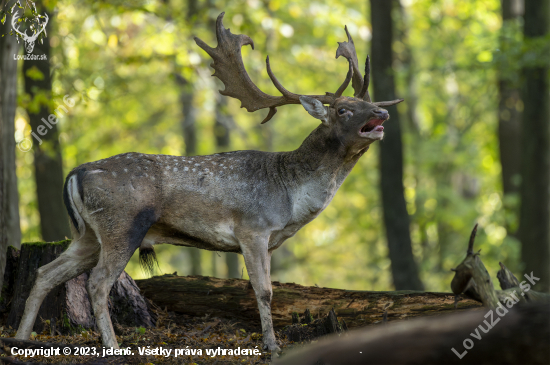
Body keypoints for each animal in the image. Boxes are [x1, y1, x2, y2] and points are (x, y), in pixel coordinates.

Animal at [15, 12, 404, 352]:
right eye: (343, 110)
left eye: (364, 102)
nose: (382, 112)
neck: (290, 197)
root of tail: (76, 173)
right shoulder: (252, 228)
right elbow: (264, 291)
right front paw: (272, 346)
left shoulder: (270, 241)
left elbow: (270, 290)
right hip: (121, 225)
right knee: (97, 282)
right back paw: (113, 346)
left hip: (87, 234)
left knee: (46, 271)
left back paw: (20, 337)